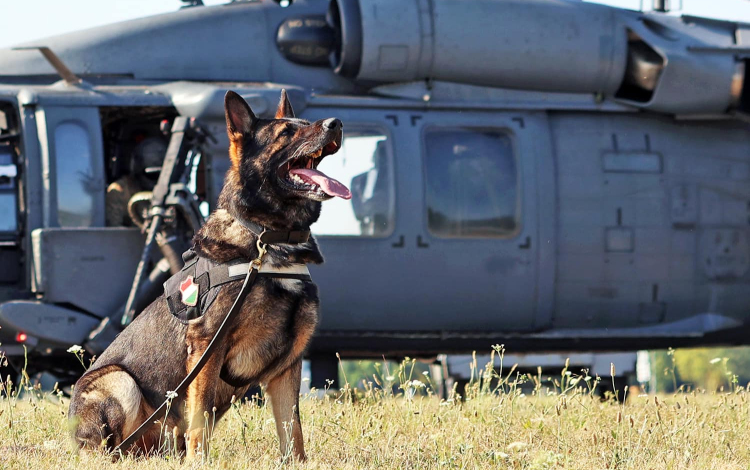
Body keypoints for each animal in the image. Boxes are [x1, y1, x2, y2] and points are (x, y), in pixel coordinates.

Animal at [69, 90, 352, 460]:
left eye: (306, 123)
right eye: (286, 132)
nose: (337, 123)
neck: (268, 239)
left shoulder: (287, 366)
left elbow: (293, 431)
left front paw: (297, 463)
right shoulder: (207, 347)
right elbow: (199, 418)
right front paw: (198, 462)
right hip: (119, 381)